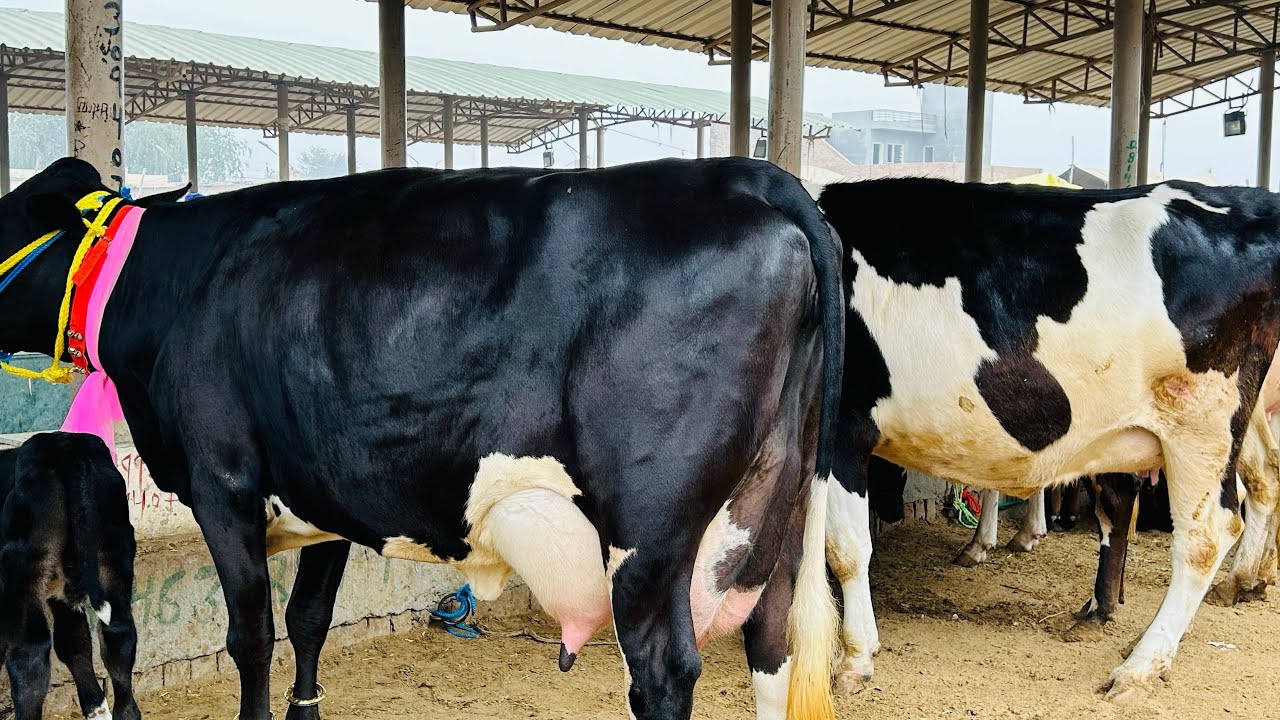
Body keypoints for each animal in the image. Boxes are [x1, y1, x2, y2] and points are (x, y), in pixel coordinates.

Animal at [0, 432, 139, 720]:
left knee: (30, 652)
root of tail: (65, 446)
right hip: (112, 553)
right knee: (117, 635)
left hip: (23, 563)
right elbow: (75, 643)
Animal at [817, 177, 1280, 703]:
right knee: (1248, 484)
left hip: (1201, 425)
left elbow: (845, 548)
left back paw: (1141, 666)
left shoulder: (842, 430)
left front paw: (854, 658)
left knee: (1208, 533)